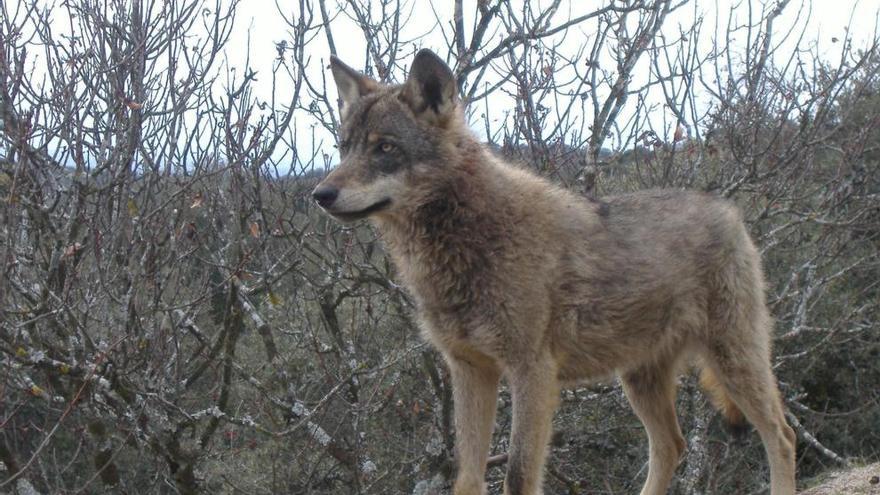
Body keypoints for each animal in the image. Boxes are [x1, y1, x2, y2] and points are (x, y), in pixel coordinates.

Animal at [312, 49, 796, 495]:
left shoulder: (533, 374)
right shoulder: (470, 371)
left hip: (733, 360)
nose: (320, 194)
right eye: (344, 148)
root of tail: (729, 210)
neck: (467, 242)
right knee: (672, 445)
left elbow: (518, 476)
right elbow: (467, 478)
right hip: (640, 380)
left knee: (782, 435)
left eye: (385, 148)